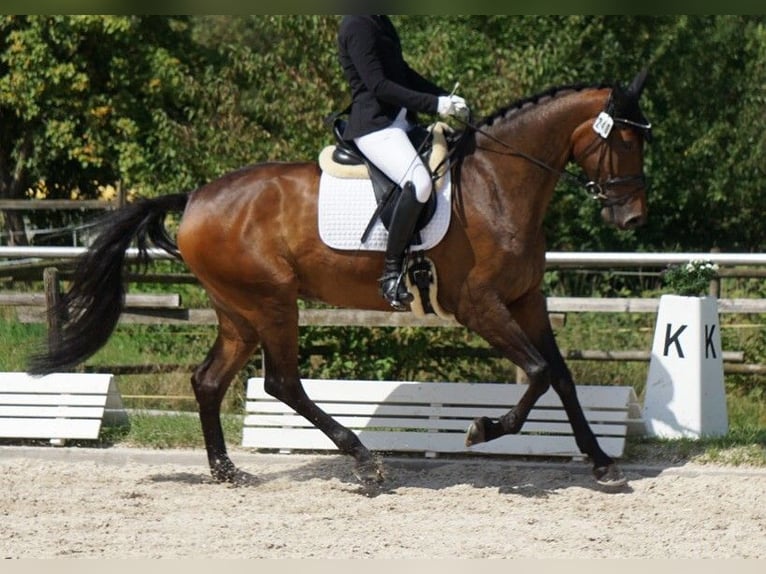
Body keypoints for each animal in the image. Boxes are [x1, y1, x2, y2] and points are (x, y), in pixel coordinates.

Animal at [29, 69, 652, 490]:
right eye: (624, 140)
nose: (632, 218)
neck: (499, 183)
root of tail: (197, 197)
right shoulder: (480, 305)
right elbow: (540, 371)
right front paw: (482, 429)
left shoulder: (526, 299)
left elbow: (562, 376)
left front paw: (601, 462)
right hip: (273, 302)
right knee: (283, 383)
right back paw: (365, 461)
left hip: (238, 311)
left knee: (208, 381)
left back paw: (228, 471)